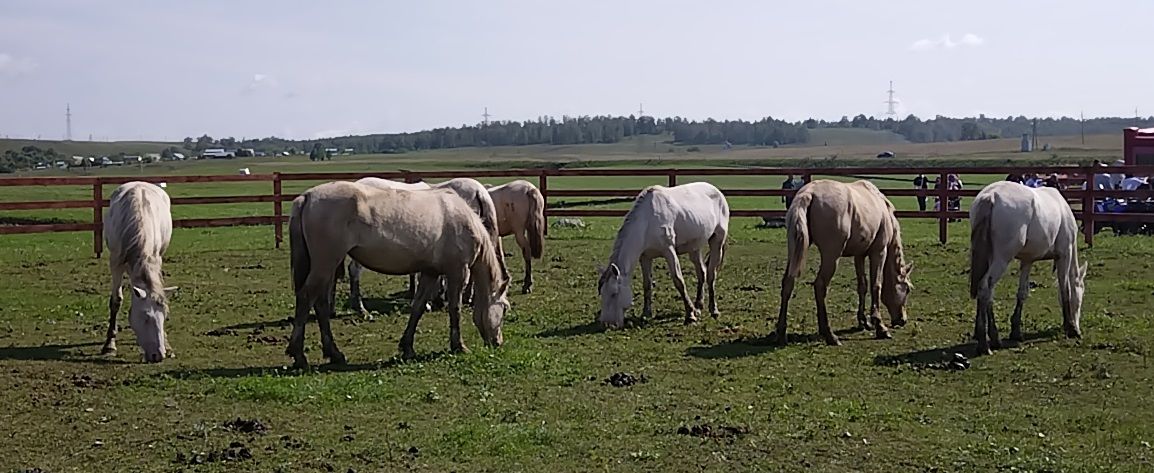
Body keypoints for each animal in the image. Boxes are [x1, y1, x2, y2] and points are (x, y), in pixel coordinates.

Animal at [102, 181, 174, 362]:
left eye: (165, 316)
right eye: (146, 317)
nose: (158, 356)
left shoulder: (156, 258)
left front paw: (167, 344)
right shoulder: (116, 263)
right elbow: (116, 300)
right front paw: (109, 345)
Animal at [288, 179, 510, 366]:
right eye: (505, 309)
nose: (498, 342)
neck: (462, 218)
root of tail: (307, 196)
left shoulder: (431, 273)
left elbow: (417, 307)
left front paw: (407, 347)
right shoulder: (458, 272)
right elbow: (455, 308)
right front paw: (459, 346)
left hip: (325, 266)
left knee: (320, 304)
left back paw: (333, 353)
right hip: (326, 263)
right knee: (307, 298)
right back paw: (299, 355)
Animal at [595, 181, 729, 329]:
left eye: (614, 293)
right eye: (601, 293)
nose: (607, 324)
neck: (647, 221)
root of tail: (716, 191)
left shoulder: (668, 250)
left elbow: (679, 281)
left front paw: (690, 316)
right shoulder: (645, 257)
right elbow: (647, 284)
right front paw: (646, 313)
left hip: (717, 241)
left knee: (711, 275)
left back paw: (713, 310)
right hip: (694, 248)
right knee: (702, 273)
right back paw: (698, 306)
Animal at [775, 178, 909, 346]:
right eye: (907, 289)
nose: (903, 320)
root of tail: (808, 194)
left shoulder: (859, 255)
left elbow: (862, 286)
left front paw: (864, 322)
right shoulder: (879, 252)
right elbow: (876, 286)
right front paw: (880, 327)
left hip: (794, 253)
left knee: (788, 283)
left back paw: (781, 333)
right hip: (831, 257)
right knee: (820, 286)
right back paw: (829, 334)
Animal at [969, 181, 1084, 355]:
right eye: (1081, 297)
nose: (1077, 324)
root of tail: (990, 196)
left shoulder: (1027, 261)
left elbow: (1022, 293)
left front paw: (1016, 331)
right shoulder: (1065, 254)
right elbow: (1066, 290)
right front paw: (1071, 328)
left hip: (990, 257)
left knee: (988, 292)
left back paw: (990, 337)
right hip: (1002, 258)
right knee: (984, 288)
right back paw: (986, 343)